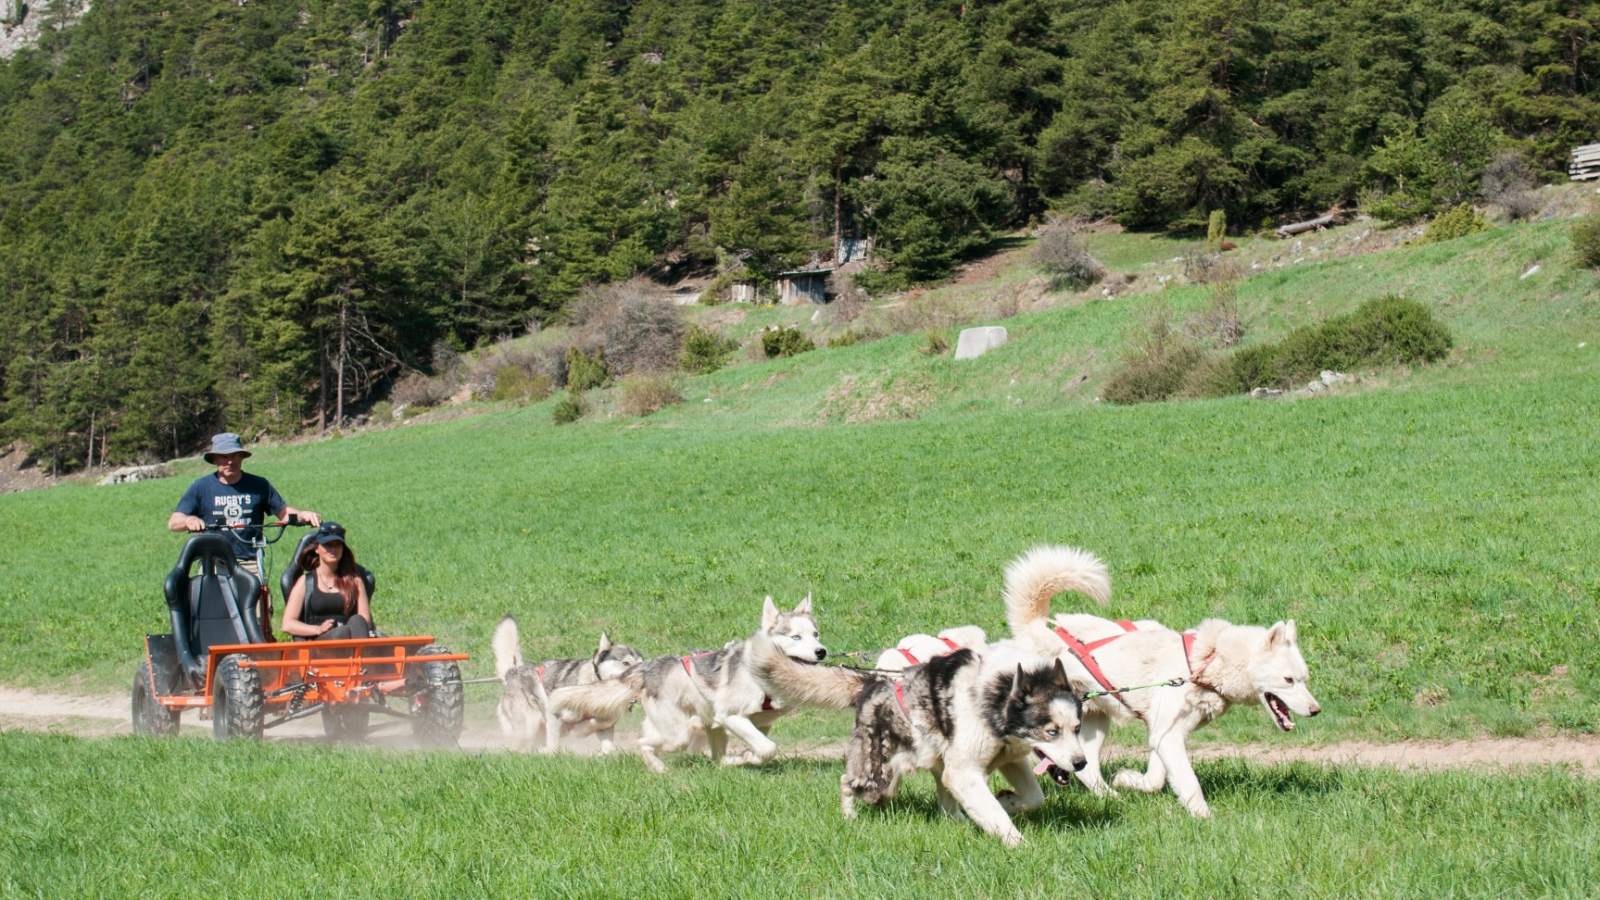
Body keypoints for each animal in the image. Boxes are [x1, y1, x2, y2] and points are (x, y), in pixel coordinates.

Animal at [489, 611, 640, 752]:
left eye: (642, 663)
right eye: (626, 663)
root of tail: (513, 672)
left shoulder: (606, 722)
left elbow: (604, 739)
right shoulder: (554, 714)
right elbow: (554, 745)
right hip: (527, 728)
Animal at [547, 595, 825, 771]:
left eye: (816, 634)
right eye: (795, 637)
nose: (821, 651)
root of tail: (649, 666)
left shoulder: (760, 723)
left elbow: (760, 750)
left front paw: (744, 757)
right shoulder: (731, 716)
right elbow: (768, 749)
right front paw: (746, 757)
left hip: (703, 725)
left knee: (714, 755)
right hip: (678, 734)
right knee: (643, 743)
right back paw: (658, 768)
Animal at [748, 627, 1088, 845]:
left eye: (1077, 728)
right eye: (1051, 731)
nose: (1081, 763)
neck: (994, 695)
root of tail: (873, 682)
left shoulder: (1009, 759)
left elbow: (1033, 798)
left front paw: (1007, 801)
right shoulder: (965, 771)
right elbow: (997, 816)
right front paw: (1018, 844)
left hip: (933, 768)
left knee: (948, 805)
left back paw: (959, 822)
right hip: (880, 780)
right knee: (847, 781)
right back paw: (849, 818)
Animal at [998, 544, 1324, 816]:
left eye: (1304, 679)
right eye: (1288, 680)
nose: (1316, 710)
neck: (1205, 662)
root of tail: (1037, 627)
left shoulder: (1163, 732)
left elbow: (1155, 778)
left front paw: (1129, 779)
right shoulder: (1167, 735)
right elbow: (1189, 783)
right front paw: (1204, 818)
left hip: (1091, 724)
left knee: (1086, 768)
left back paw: (1113, 798)